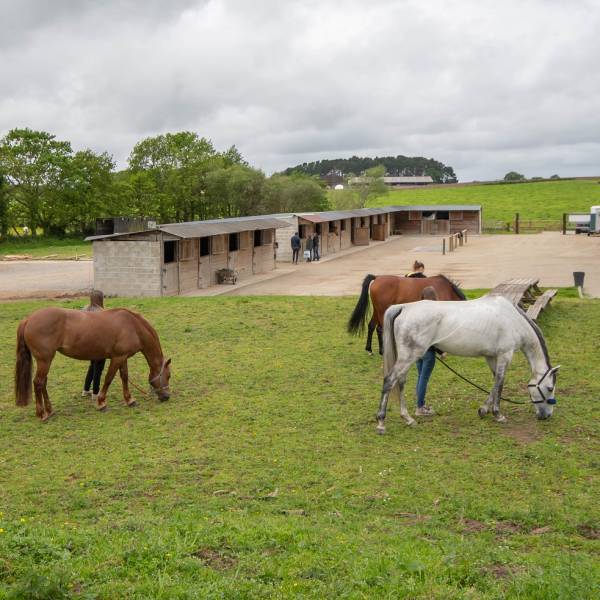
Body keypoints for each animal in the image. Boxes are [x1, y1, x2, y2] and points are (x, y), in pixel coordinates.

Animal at [15, 308, 171, 420]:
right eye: (168, 376)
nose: (166, 397)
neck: (132, 326)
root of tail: (28, 319)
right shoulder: (117, 358)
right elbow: (108, 378)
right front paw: (101, 403)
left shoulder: (123, 357)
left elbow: (124, 377)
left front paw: (129, 400)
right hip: (44, 361)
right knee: (38, 383)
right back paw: (42, 414)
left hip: (45, 361)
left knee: (43, 383)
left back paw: (49, 410)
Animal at [378, 294, 560, 432]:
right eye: (550, 388)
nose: (547, 415)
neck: (513, 320)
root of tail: (404, 307)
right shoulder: (505, 355)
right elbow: (500, 382)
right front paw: (498, 414)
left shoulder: (491, 357)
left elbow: (495, 383)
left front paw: (484, 410)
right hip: (409, 356)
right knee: (389, 381)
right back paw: (381, 423)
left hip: (407, 357)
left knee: (400, 382)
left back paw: (408, 419)